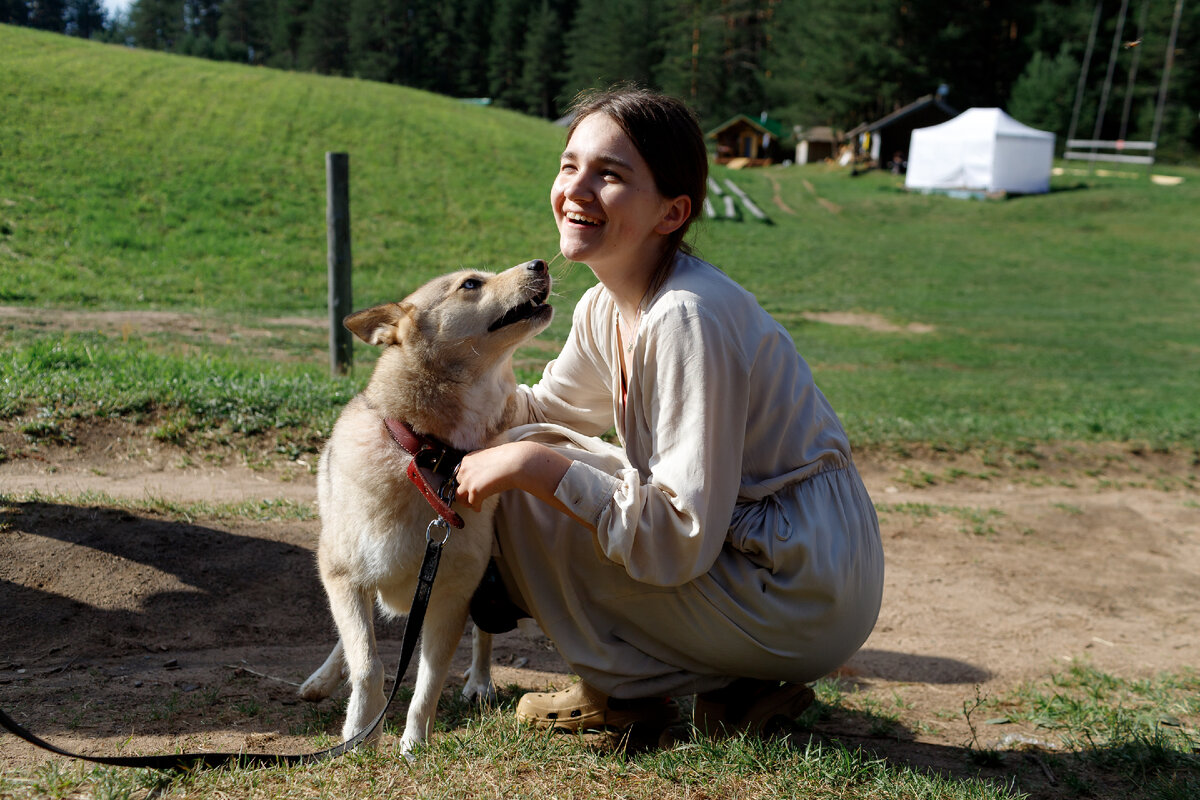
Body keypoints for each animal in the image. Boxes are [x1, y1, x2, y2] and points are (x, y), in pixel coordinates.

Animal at [302, 261, 554, 758]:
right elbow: (368, 664)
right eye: (471, 283)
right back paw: (323, 678)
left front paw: (414, 744)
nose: (540, 264)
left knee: (483, 634)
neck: (431, 456)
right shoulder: (343, 575)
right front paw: (360, 732)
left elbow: (428, 681)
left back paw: (480, 682)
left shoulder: (450, 597)